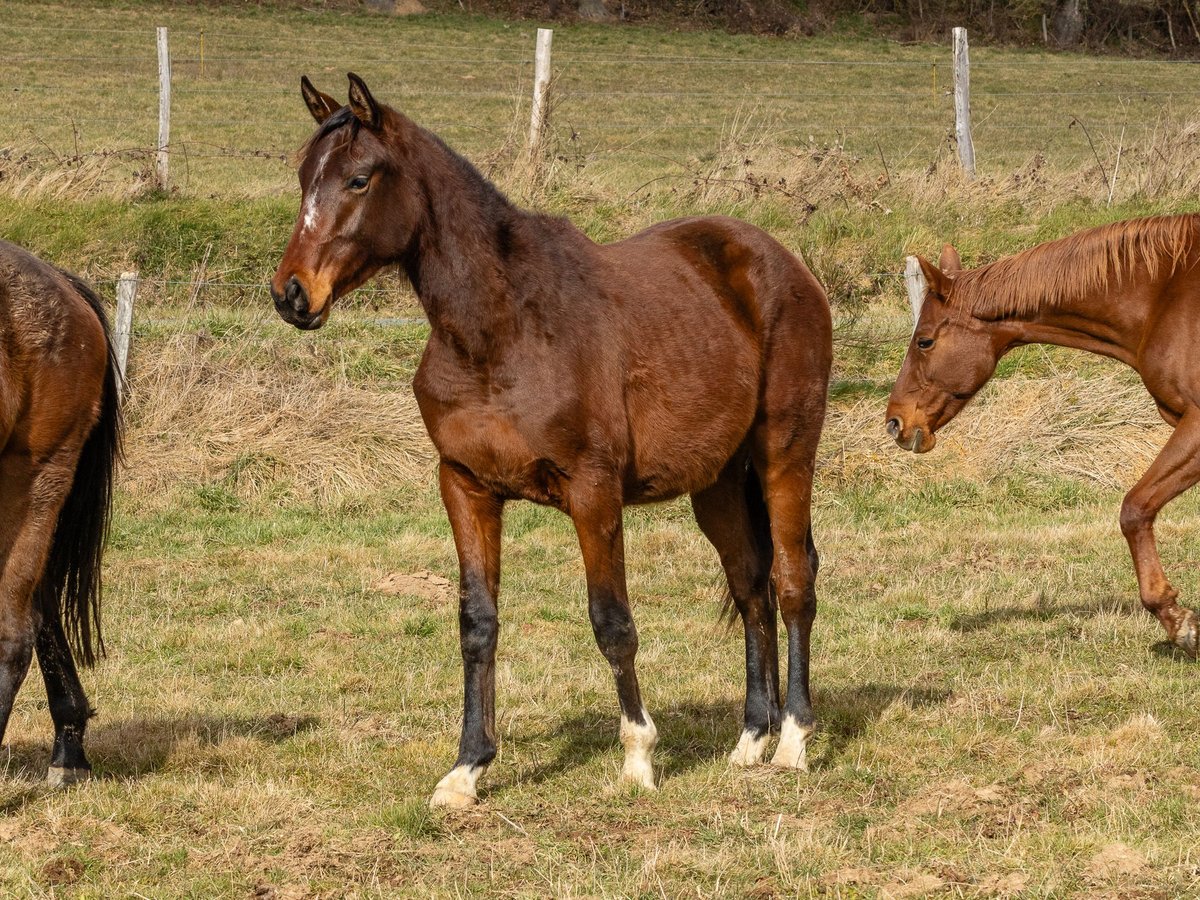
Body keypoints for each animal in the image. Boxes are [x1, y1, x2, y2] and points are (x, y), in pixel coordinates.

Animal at [272, 75, 835, 811]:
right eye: (303, 175)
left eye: (359, 178)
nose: (291, 294)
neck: (499, 330)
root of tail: (784, 265)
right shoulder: (466, 487)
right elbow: (477, 623)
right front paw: (467, 769)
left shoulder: (593, 494)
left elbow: (612, 622)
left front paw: (638, 760)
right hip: (716, 484)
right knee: (750, 586)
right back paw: (750, 740)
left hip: (784, 456)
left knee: (792, 581)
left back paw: (793, 741)